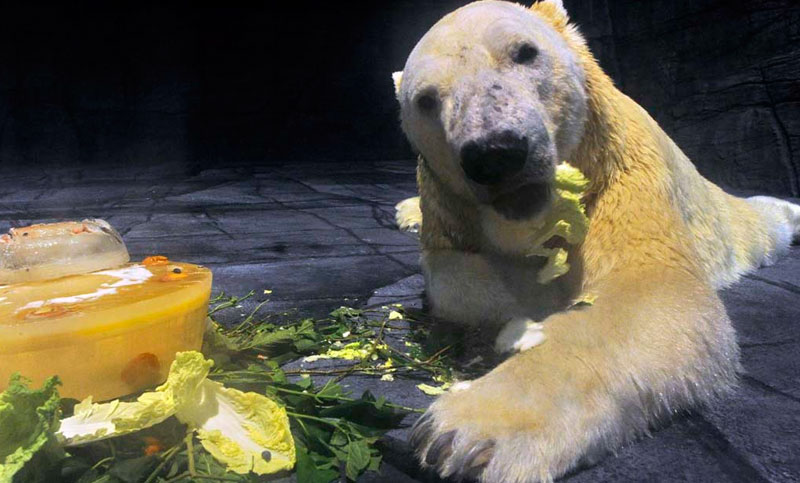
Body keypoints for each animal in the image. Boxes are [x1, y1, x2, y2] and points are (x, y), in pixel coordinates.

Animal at [392, 1, 800, 482]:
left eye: (525, 52)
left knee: (757, 224)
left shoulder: (621, 173)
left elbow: (653, 294)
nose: (496, 152)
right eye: (426, 99)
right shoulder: (446, 207)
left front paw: (464, 432)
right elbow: (450, 274)